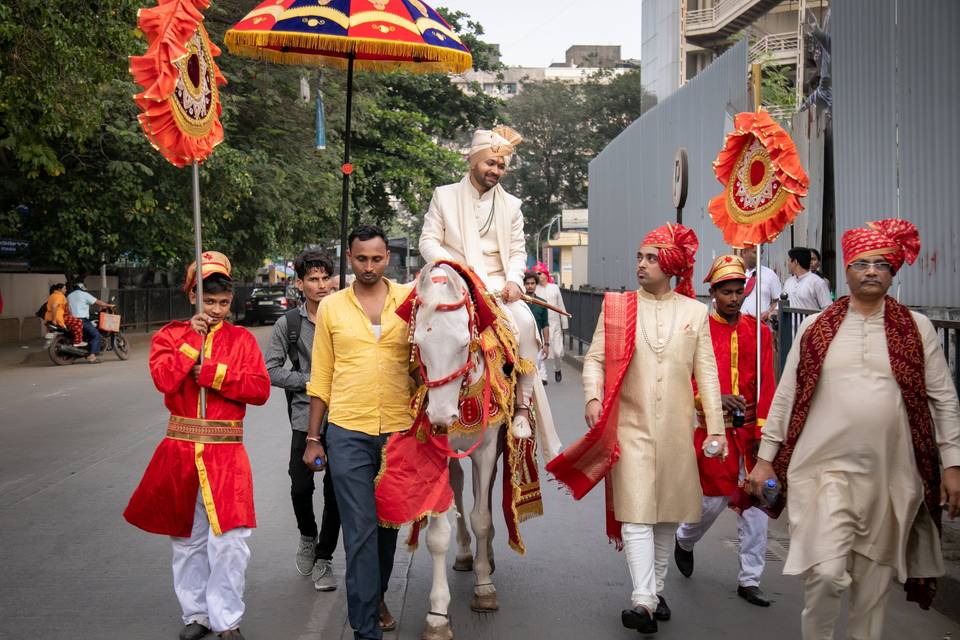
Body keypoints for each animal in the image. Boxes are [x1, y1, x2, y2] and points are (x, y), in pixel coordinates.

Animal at [408, 262, 560, 640]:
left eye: (464, 343)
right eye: (420, 345)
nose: (440, 417)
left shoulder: (487, 448)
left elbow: (481, 516)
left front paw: (484, 587)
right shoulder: (440, 451)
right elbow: (439, 534)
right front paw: (437, 615)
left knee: (485, 496)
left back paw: (486, 557)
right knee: (461, 489)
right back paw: (466, 555)